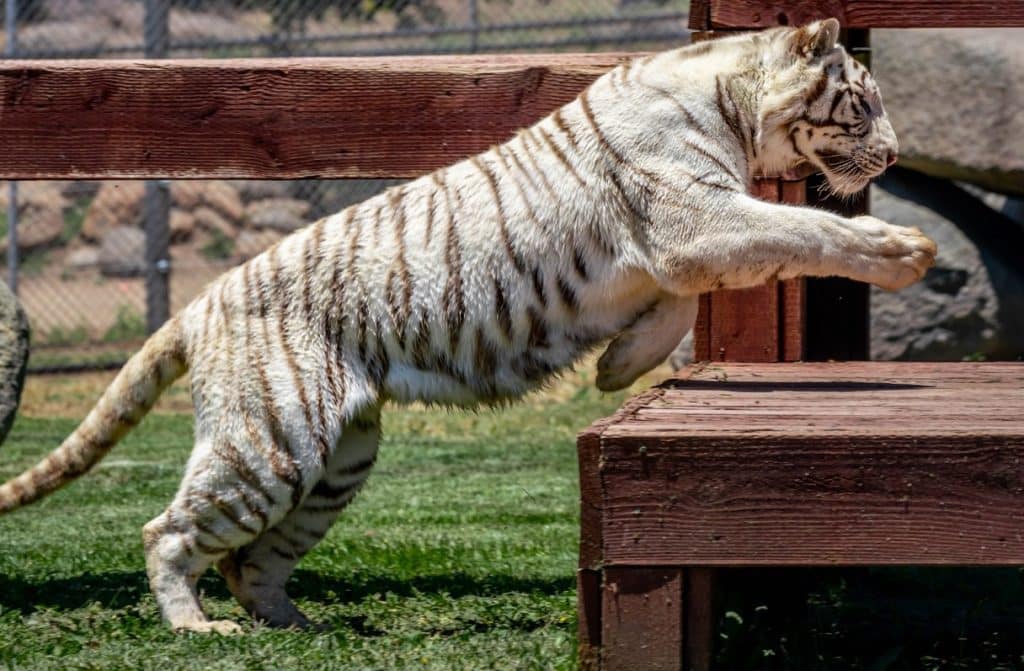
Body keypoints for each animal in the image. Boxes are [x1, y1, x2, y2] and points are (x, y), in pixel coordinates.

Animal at [0, 18, 935, 633]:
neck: (730, 102)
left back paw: (303, 625)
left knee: (249, 560)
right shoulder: (695, 218)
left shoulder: (682, 243)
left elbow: (683, 303)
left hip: (336, 460)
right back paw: (197, 627)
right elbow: (806, 231)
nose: (893, 156)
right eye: (862, 104)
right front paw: (903, 250)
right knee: (168, 533)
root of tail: (199, 302)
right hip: (268, 444)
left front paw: (617, 366)